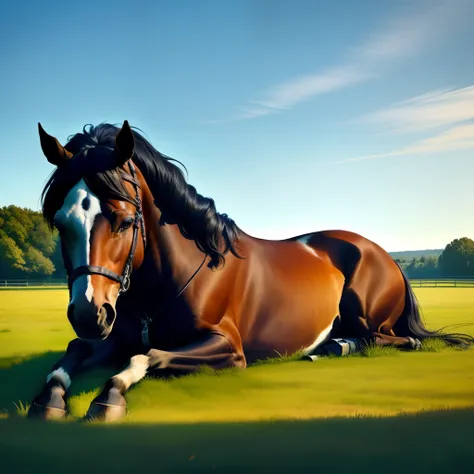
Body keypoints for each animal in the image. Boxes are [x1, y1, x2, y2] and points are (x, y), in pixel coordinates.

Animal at [28, 121, 474, 422]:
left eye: (123, 221)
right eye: (61, 223)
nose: (90, 314)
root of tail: (385, 255)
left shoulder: (228, 348)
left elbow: (148, 355)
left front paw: (110, 397)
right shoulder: (113, 337)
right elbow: (75, 351)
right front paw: (50, 399)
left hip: (368, 314)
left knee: (394, 339)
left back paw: (338, 345)